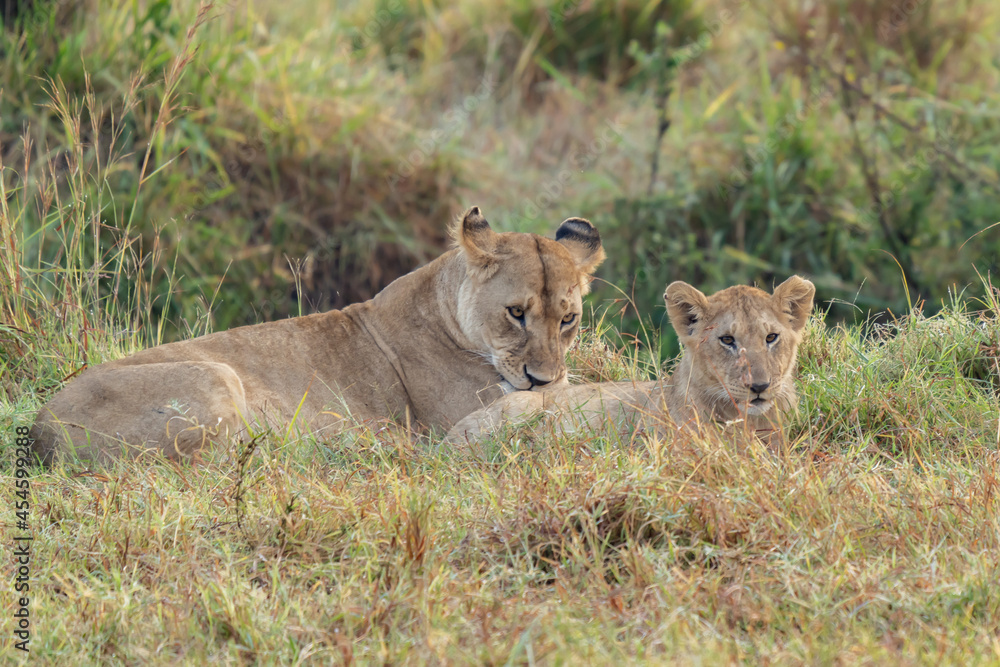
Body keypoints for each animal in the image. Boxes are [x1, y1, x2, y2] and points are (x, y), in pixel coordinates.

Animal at [30, 206, 605, 464]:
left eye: (568, 319)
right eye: (516, 312)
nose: (541, 379)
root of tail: (39, 432)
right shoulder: (468, 413)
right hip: (214, 378)